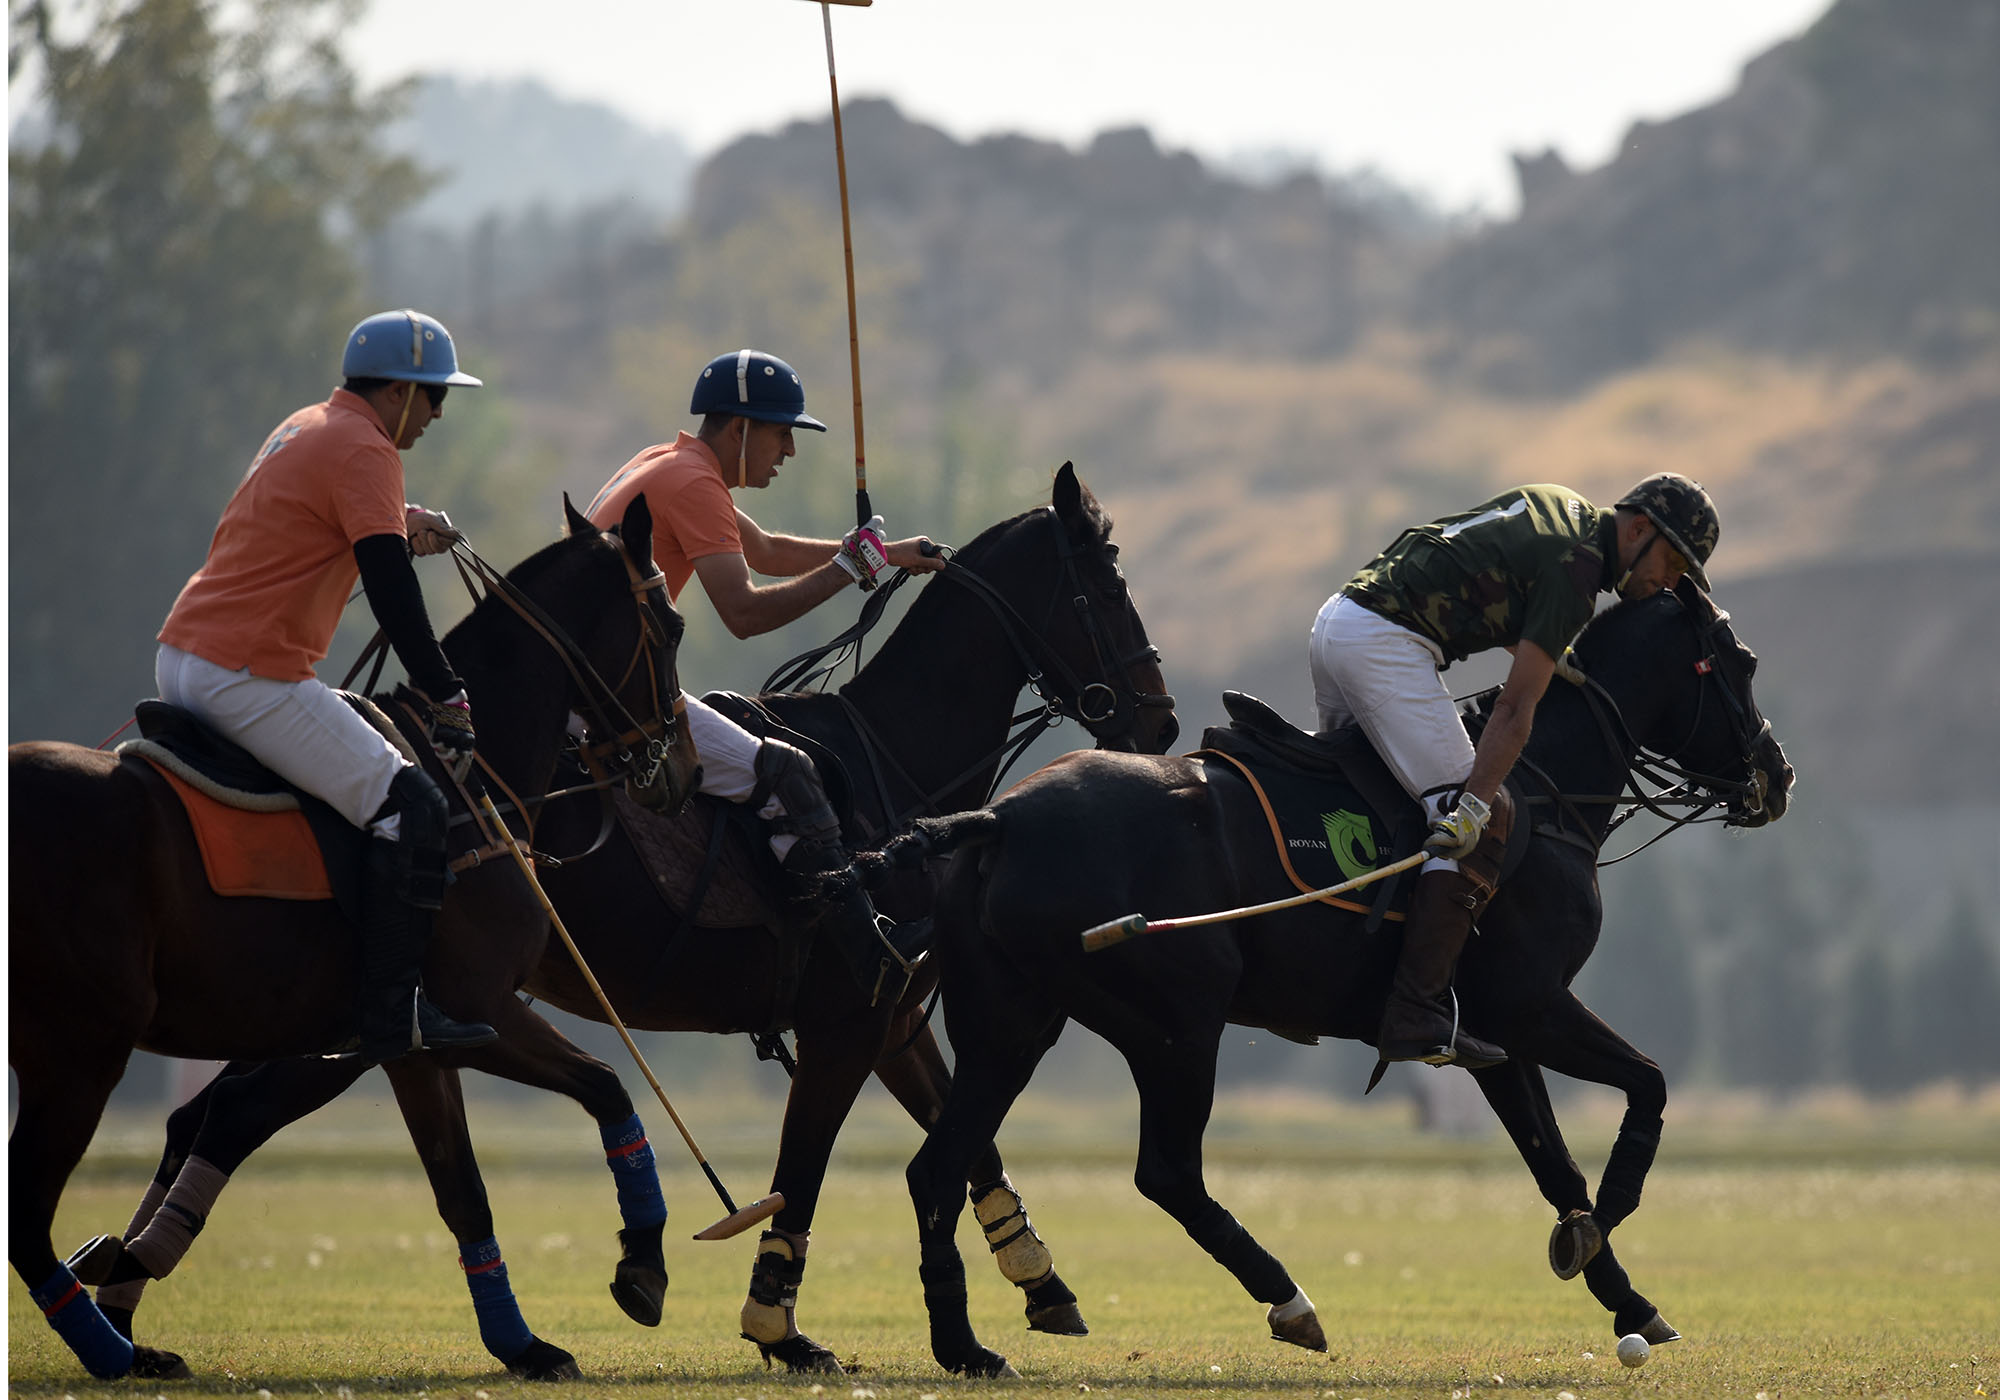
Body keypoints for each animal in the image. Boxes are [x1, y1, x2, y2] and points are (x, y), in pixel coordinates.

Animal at [11, 492, 700, 1376]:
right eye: (670, 624)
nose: (678, 772)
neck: (474, 788)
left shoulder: (411, 1046)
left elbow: (470, 1184)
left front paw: (527, 1337)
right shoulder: (469, 1013)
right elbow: (592, 1096)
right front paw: (634, 1270)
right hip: (82, 1045)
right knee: (28, 1211)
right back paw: (111, 1348)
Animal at [90, 464, 1184, 1376]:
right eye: (1107, 584)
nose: (1161, 719)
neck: (893, 761)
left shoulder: (886, 1015)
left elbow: (965, 1139)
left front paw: (1040, 1280)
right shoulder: (845, 1019)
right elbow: (806, 1164)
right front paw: (779, 1327)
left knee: (215, 1111)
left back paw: (121, 1294)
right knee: (233, 1112)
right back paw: (121, 1298)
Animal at [892, 576, 1800, 1376]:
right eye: (1745, 660)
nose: (1778, 776)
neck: (1543, 790)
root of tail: (999, 816)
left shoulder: (1491, 1035)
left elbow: (1554, 1163)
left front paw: (1629, 1301)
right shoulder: (1534, 1006)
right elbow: (1646, 1089)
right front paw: (1591, 1238)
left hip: (1012, 1027)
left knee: (939, 1166)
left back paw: (964, 1346)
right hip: (1178, 1022)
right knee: (1167, 1172)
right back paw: (1290, 1302)